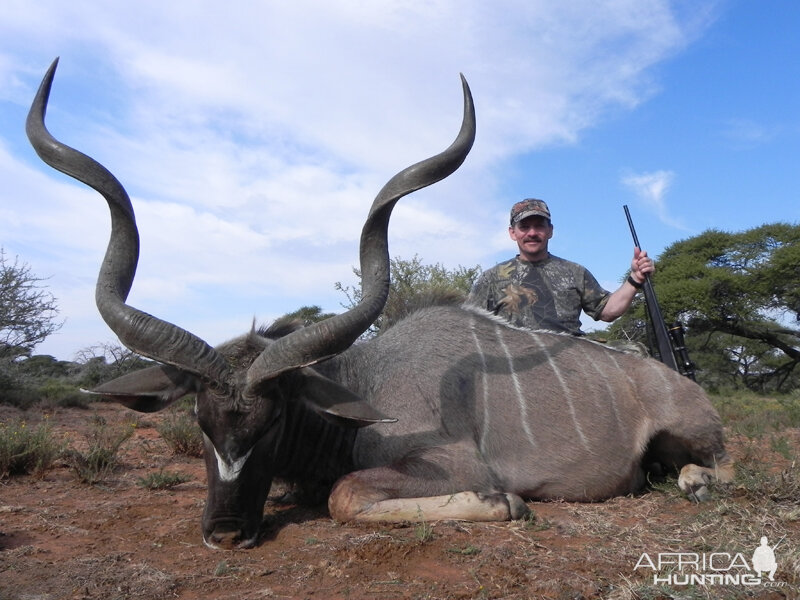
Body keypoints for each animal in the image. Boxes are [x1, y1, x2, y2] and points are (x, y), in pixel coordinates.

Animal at [29, 59, 732, 548]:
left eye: (273, 420)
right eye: (201, 422)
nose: (225, 533)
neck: (360, 382)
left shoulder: (453, 461)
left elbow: (345, 496)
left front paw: (505, 504)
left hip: (694, 434)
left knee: (717, 466)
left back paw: (694, 481)